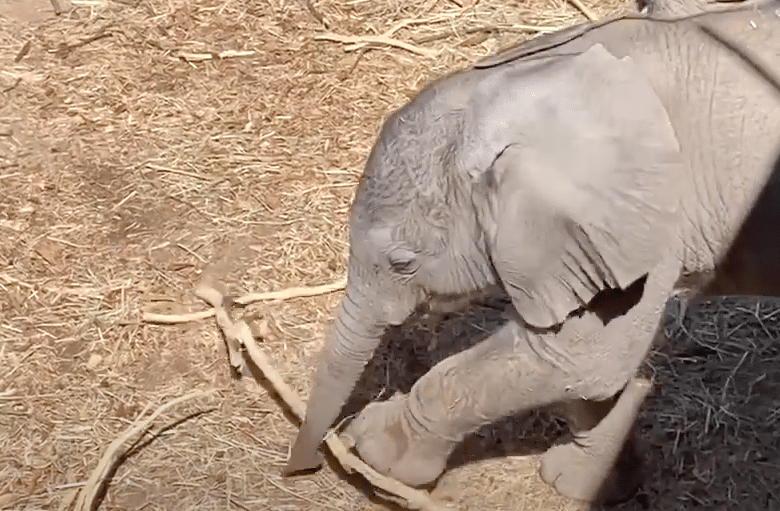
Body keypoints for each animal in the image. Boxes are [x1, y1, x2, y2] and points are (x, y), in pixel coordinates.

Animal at [283, 3, 780, 505]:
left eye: (403, 262)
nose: (302, 468)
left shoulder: (650, 217)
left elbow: (585, 356)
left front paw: (377, 450)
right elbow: (588, 365)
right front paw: (586, 484)